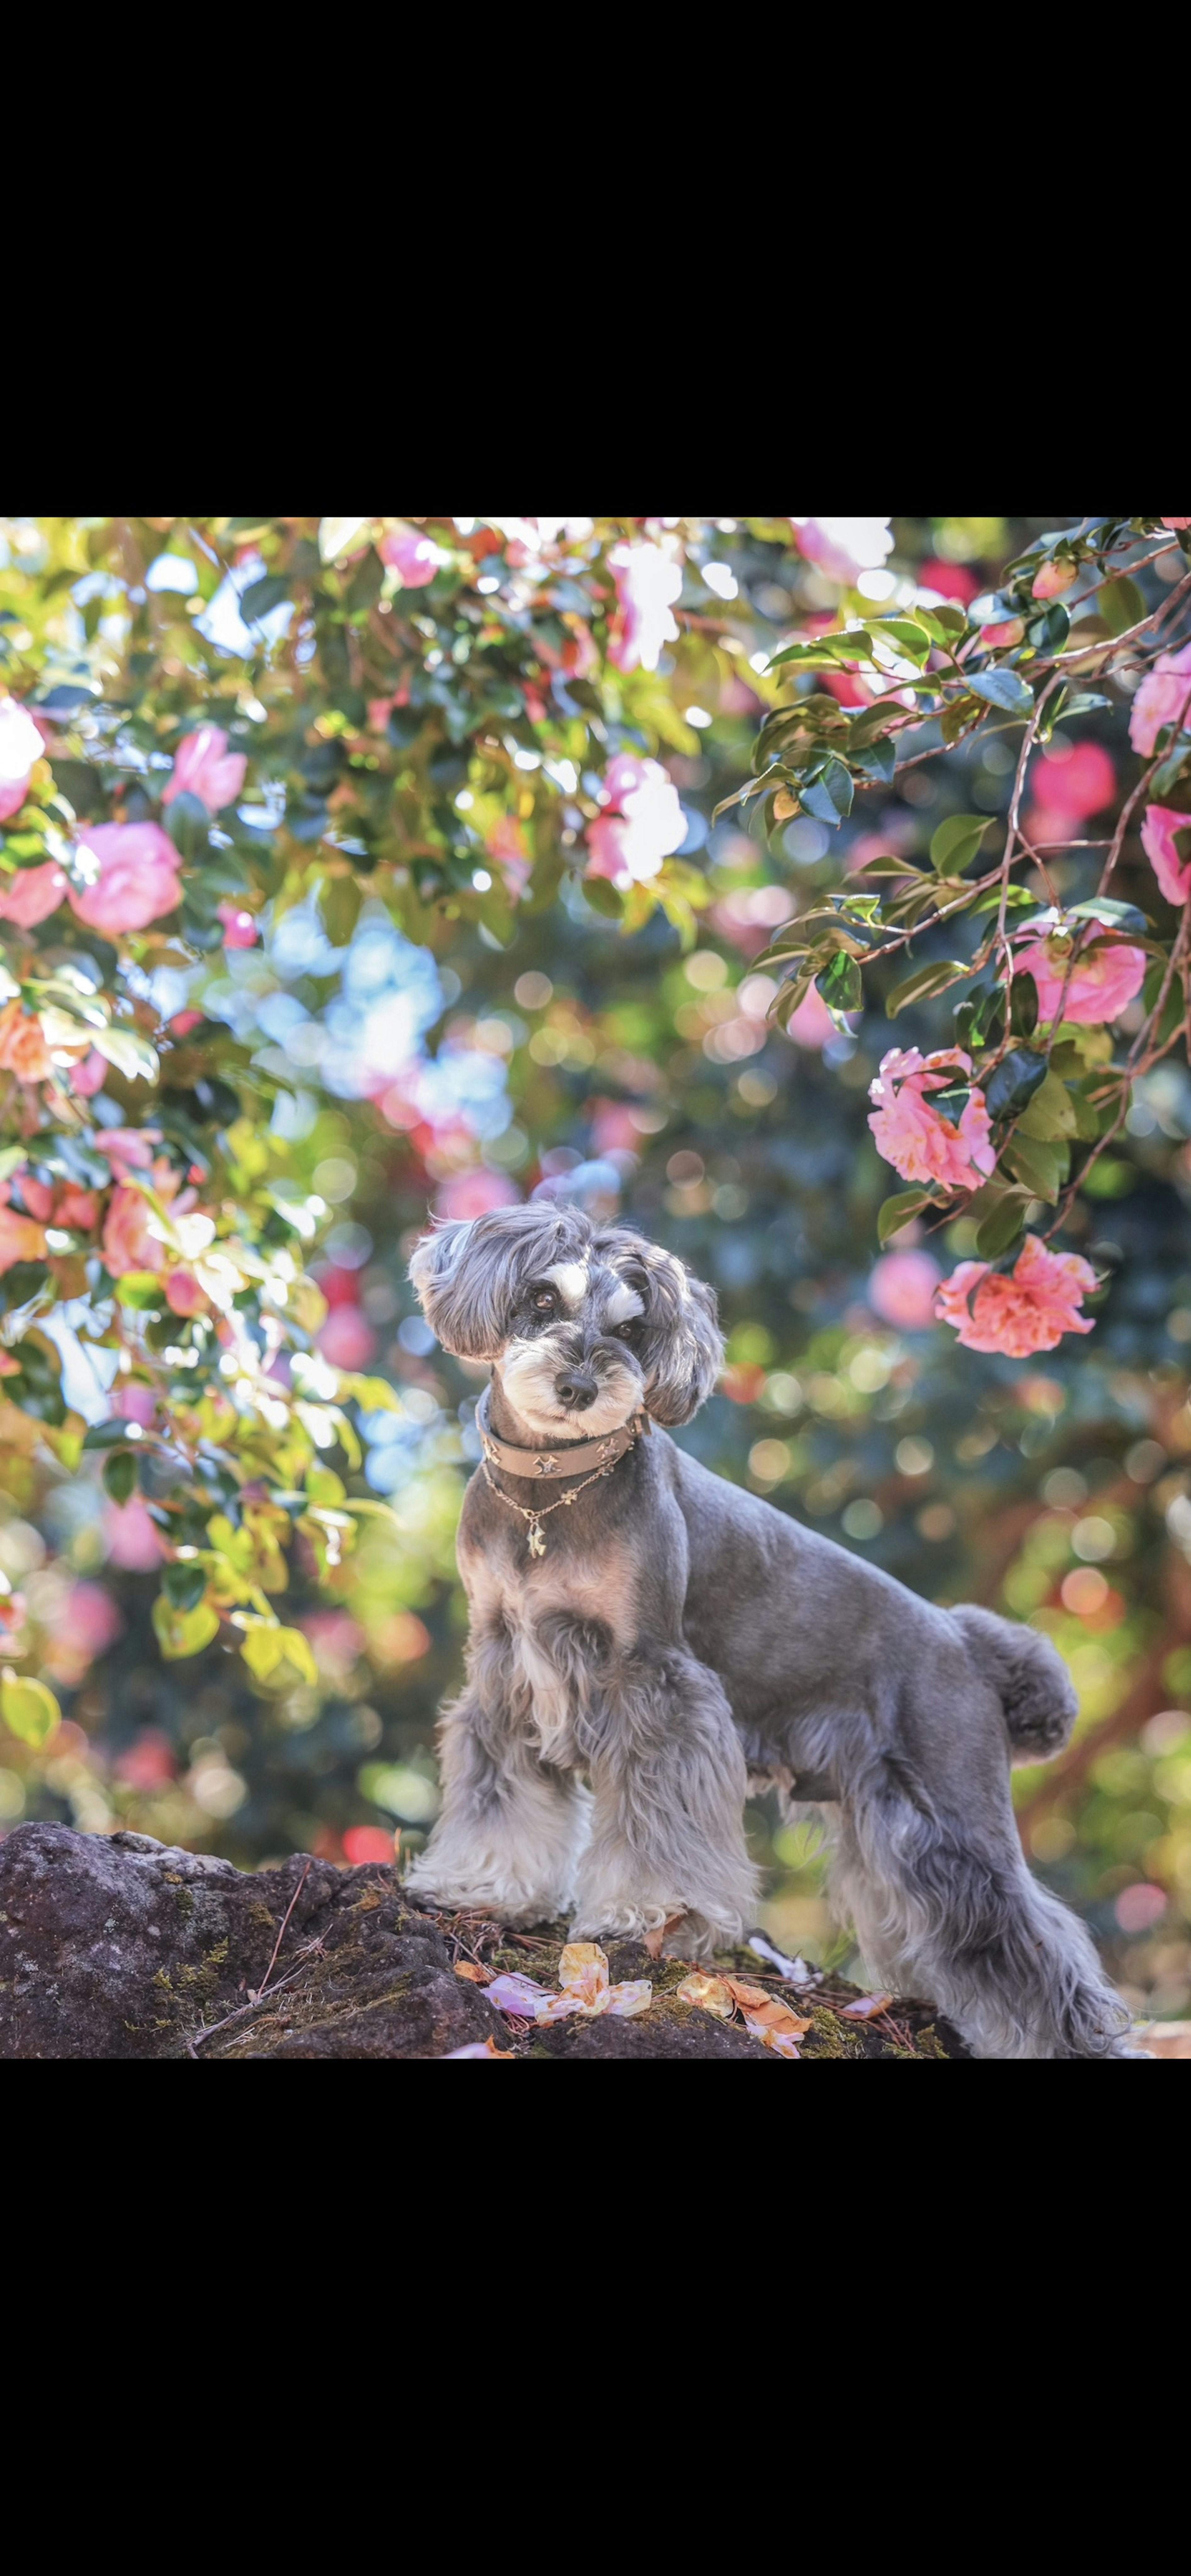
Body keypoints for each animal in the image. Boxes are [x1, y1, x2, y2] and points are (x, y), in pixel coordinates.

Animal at [405, 1195, 1129, 2061]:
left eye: (631, 1327)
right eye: (541, 1298)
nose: (579, 1384)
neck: (550, 1491)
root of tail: (964, 1641)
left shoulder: (653, 1678)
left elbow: (659, 1816)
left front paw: (654, 1912)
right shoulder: (505, 1661)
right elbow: (501, 1788)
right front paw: (483, 1883)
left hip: (957, 1810)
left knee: (1031, 1941)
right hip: (893, 1822)